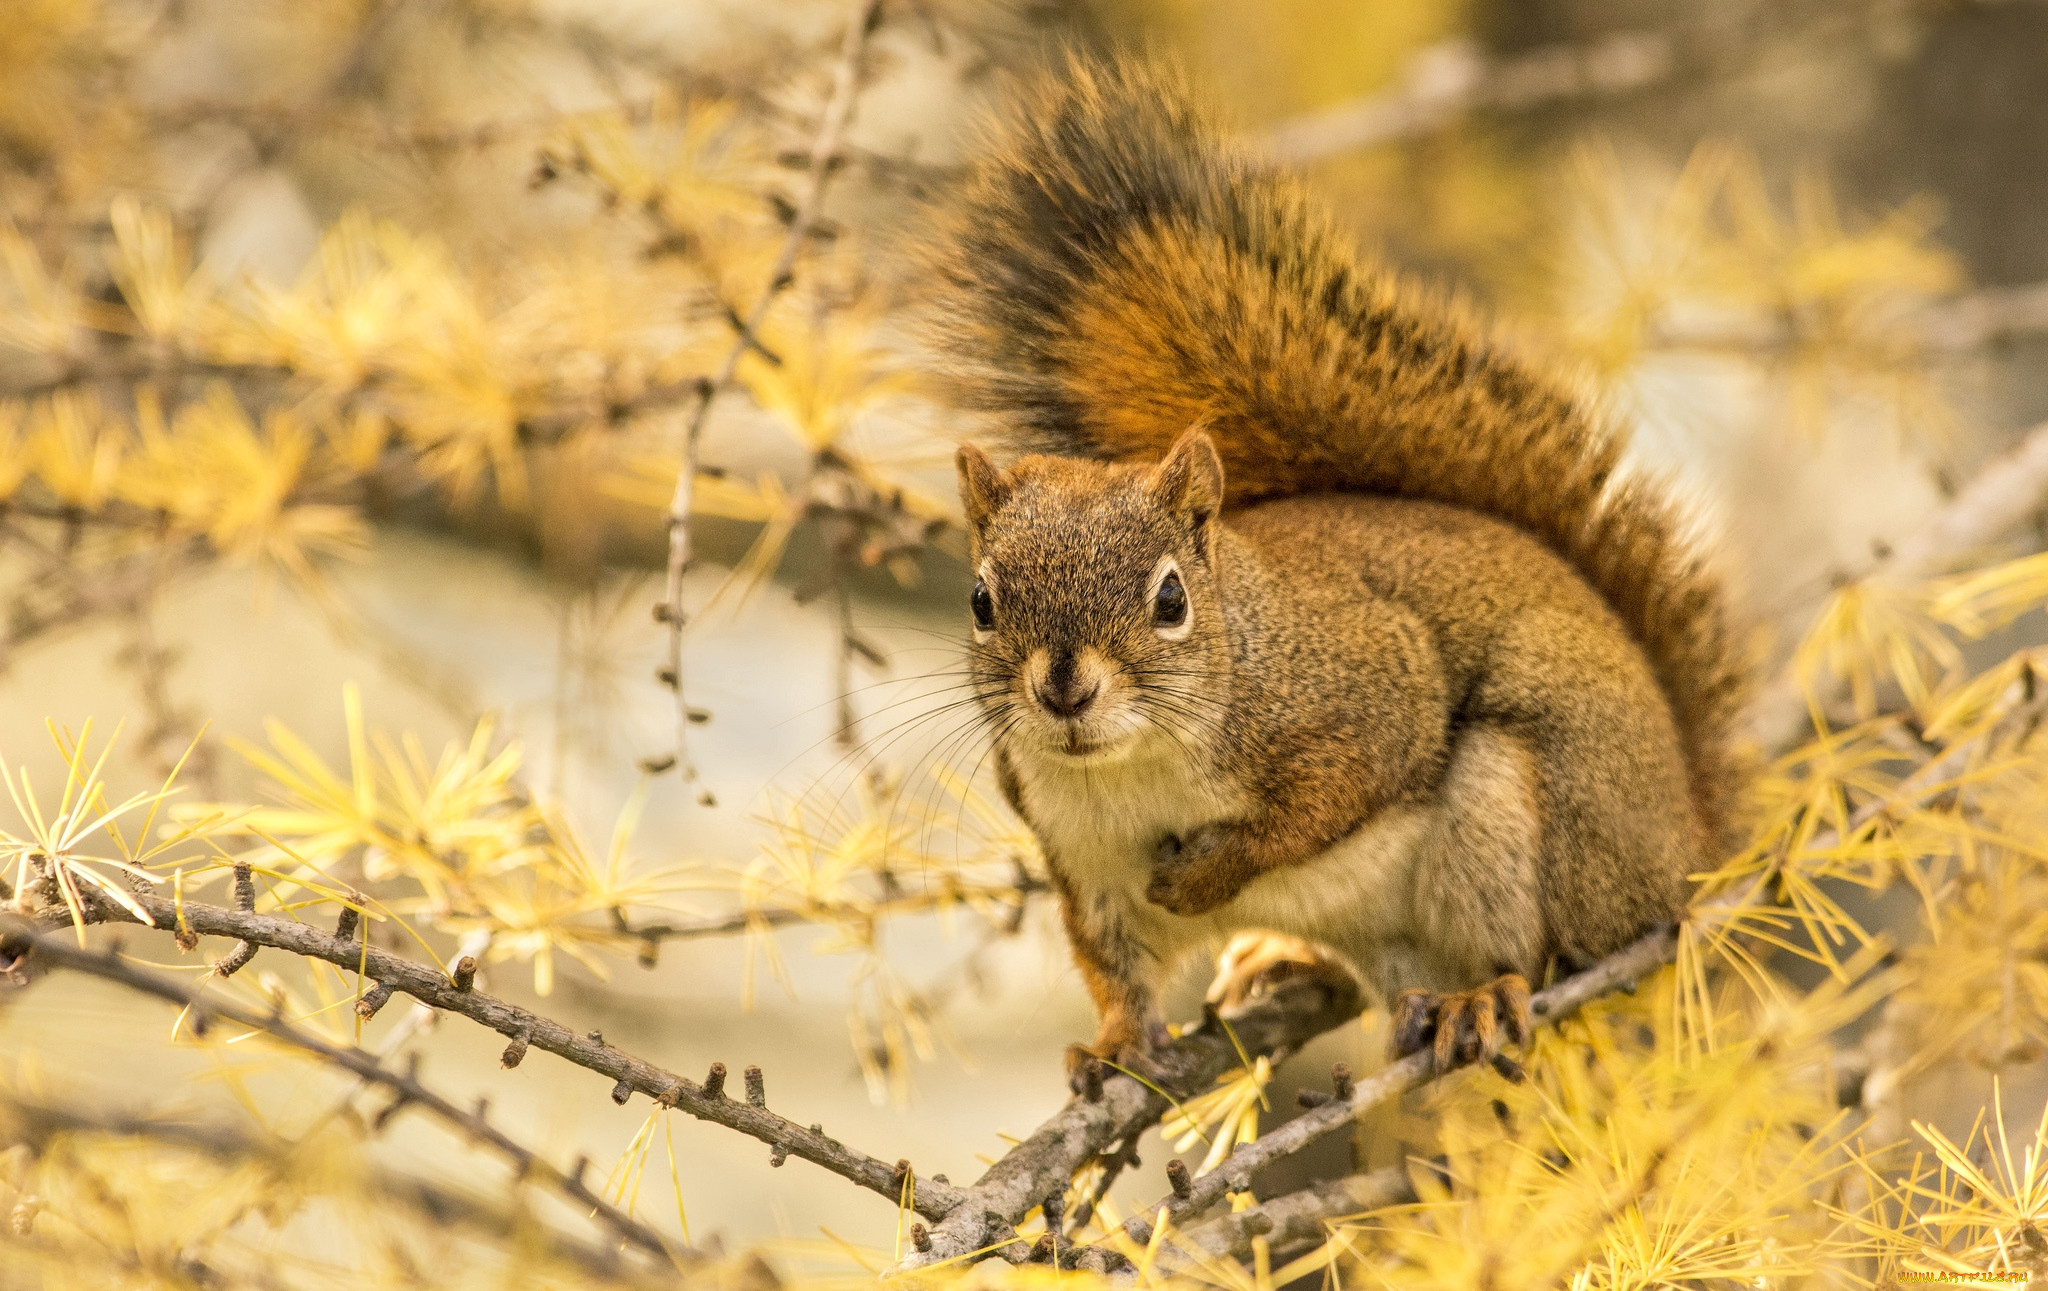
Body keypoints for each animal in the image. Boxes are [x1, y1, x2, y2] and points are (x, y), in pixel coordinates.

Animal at [925, 55, 1744, 1090]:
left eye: (1170, 598)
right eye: (983, 601)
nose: (1064, 689)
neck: (1131, 767)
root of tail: (1693, 844)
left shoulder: (1361, 690)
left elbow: (1332, 793)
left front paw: (1212, 870)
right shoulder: (1085, 865)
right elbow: (1118, 970)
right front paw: (1115, 1048)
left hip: (1527, 819)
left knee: (1540, 949)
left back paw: (1485, 995)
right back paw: (1287, 958)